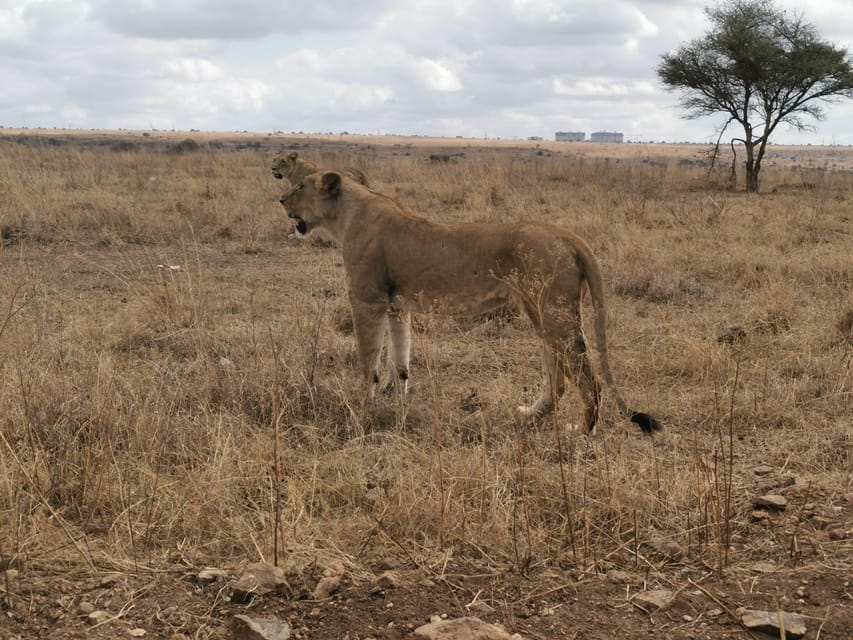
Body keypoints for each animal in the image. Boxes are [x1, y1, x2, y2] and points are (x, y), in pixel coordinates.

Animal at [278, 170, 660, 436]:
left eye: (300, 187)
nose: (281, 200)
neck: (347, 215)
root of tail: (569, 236)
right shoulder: (396, 306)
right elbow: (399, 361)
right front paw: (397, 402)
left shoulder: (367, 300)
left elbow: (368, 361)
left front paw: (362, 405)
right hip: (540, 313)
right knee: (559, 376)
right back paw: (530, 415)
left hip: (555, 315)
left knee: (586, 376)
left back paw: (583, 431)